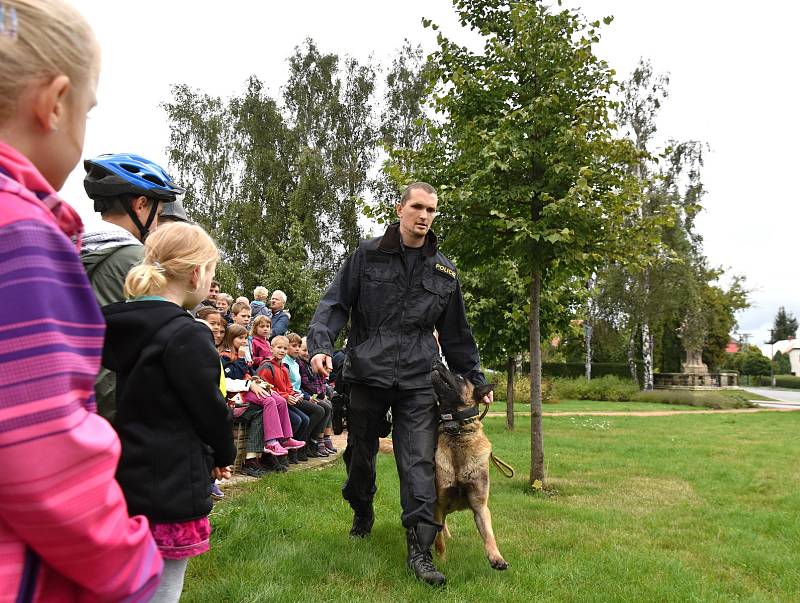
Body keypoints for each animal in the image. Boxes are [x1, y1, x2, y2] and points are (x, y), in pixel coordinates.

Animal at [432, 364, 506, 572]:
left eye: (459, 377)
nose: (437, 362)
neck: (457, 430)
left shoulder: (480, 507)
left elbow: (489, 535)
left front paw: (496, 557)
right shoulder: (438, 504)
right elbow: (439, 541)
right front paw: (441, 561)